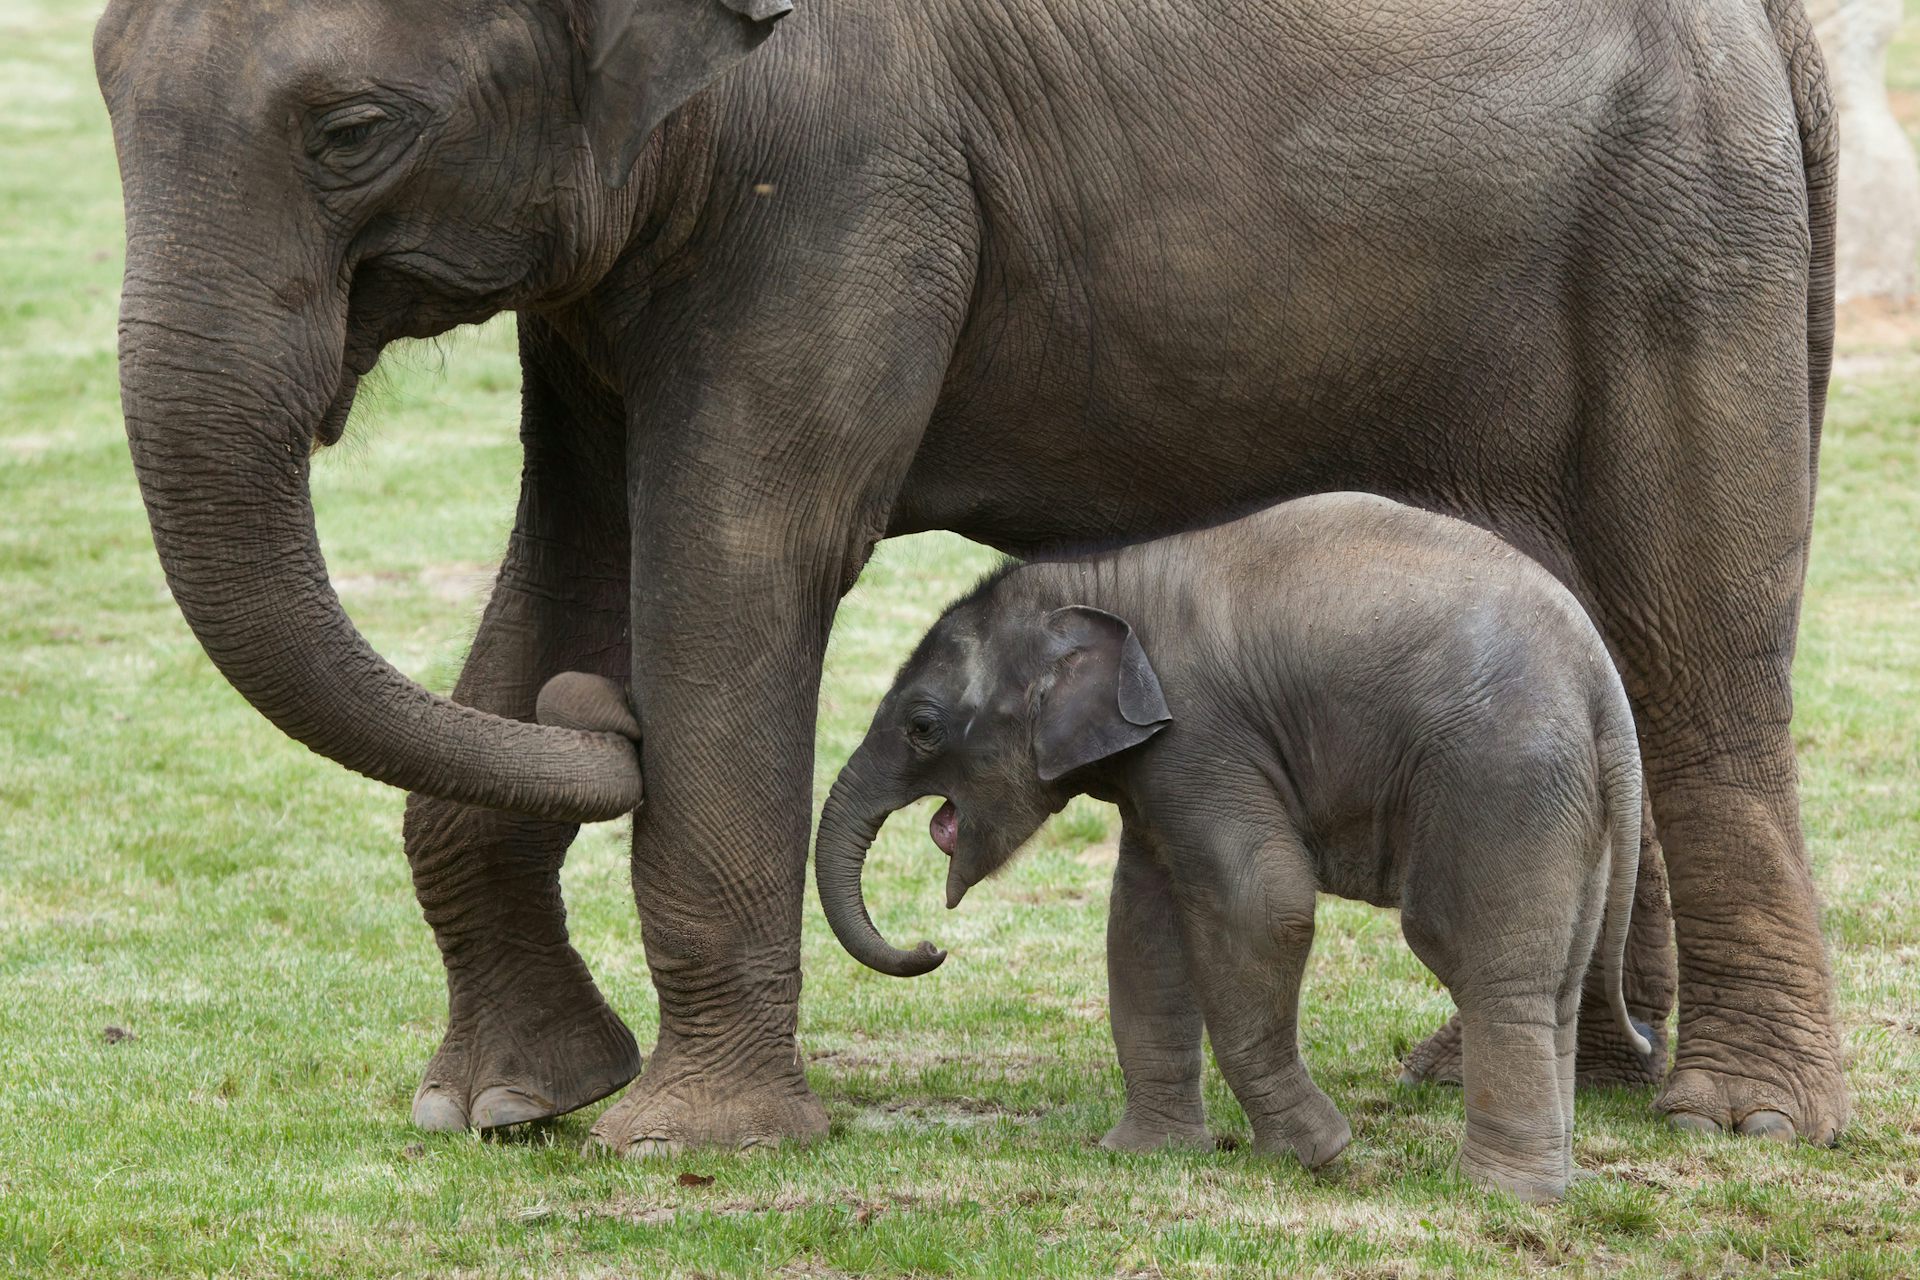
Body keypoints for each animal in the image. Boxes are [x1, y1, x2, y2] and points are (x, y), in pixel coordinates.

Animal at [811, 492, 1656, 1202]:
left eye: (923, 726)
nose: (931, 945)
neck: (1097, 578)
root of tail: (1601, 681)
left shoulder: (1202, 735)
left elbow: (1261, 905)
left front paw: (1318, 1155)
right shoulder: (1161, 765)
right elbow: (1143, 924)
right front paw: (1142, 1155)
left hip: (1499, 772)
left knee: (1478, 958)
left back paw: (1499, 1195)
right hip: (1570, 804)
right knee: (1559, 977)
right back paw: (1546, 1180)